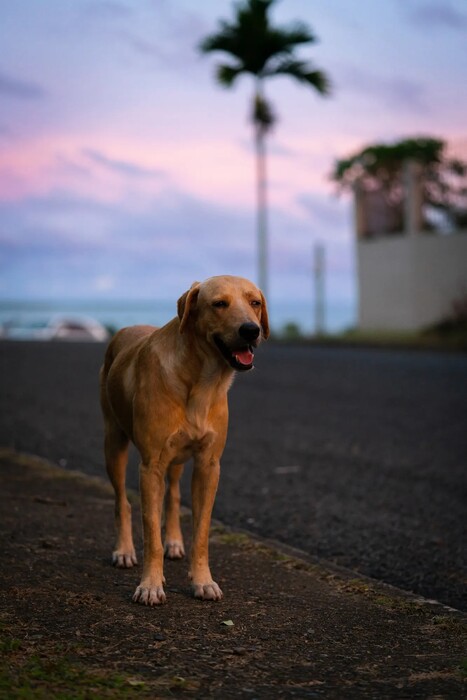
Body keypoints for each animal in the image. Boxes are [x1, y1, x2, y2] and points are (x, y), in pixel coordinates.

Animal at [100, 276, 268, 604]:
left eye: (255, 302)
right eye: (219, 304)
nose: (251, 330)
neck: (201, 380)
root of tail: (126, 329)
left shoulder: (209, 465)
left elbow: (200, 532)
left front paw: (202, 580)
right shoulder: (151, 466)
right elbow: (150, 533)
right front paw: (151, 585)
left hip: (176, 459)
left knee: (174, 495)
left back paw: (174, 542)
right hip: (114, 443)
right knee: (122, 502)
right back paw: (124, 550)